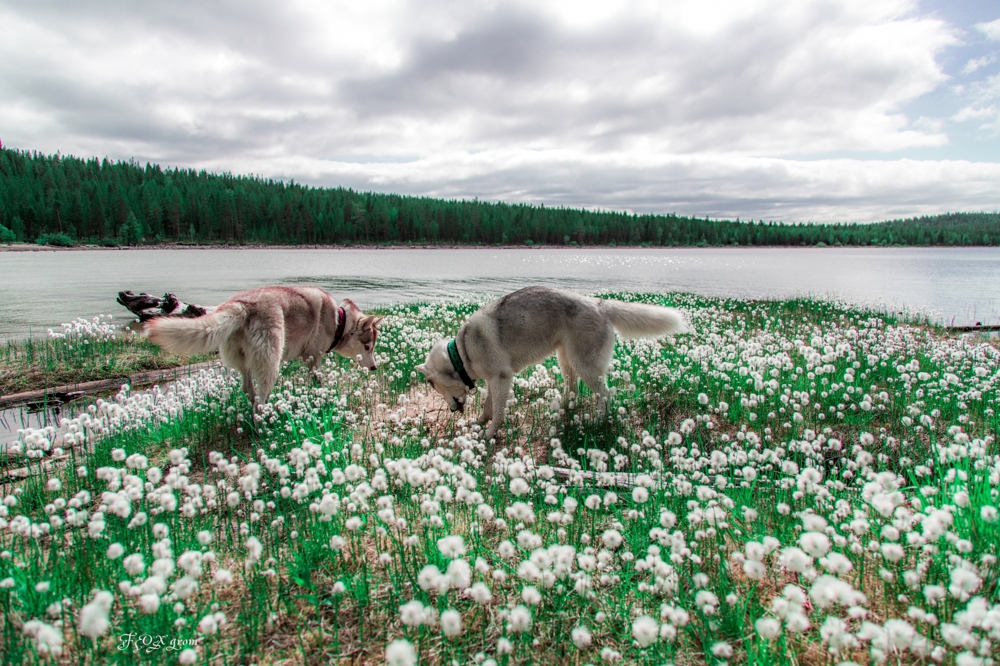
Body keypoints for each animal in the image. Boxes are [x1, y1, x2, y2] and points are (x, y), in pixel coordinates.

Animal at [145, 286, 382, 404]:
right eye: (368, 347)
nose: (374, 368)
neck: (339, 321)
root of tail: (240, 304)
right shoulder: (313, 356)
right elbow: (318, 379)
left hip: (245, 363)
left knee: (247, 390)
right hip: (270, 362)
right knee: (260, 398)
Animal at [414, 282, 688, 438]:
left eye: (431, 385)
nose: (451, 410)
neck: (461, 352)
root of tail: (600, 304)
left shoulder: (501, 378)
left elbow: (498, 412)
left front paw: (489, 434)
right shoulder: (495, 380)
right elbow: (488, 406)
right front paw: (481, 422)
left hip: (583, 365)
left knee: (606, 395)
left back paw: (599, 421)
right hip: (565, 360)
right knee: (574, 390)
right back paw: (565, 409)